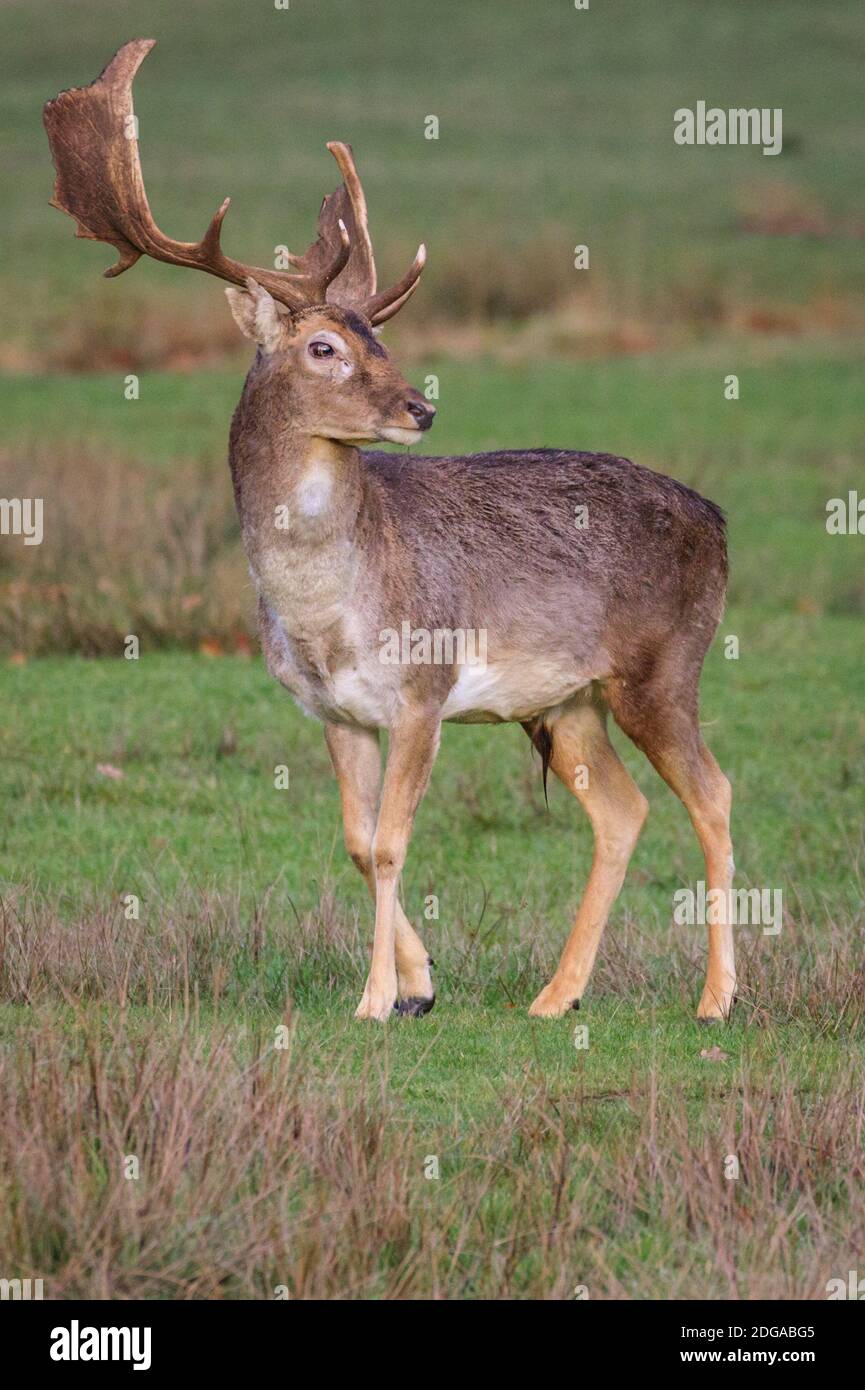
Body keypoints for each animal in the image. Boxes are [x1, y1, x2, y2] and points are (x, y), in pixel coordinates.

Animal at [45, 40, 739, 1023]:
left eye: (378, 334)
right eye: (325, 347)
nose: (421, 407)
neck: (326, 612)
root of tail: (718, 522)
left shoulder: (422, 688)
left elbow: (389, 844)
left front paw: (376, 999)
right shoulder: (333, 710)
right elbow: (354, 839)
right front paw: (417, 985)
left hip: (662, 665)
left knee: (712, 792)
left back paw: (715, 999)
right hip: (564, 702)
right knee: (622, 809)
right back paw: (553, 997)